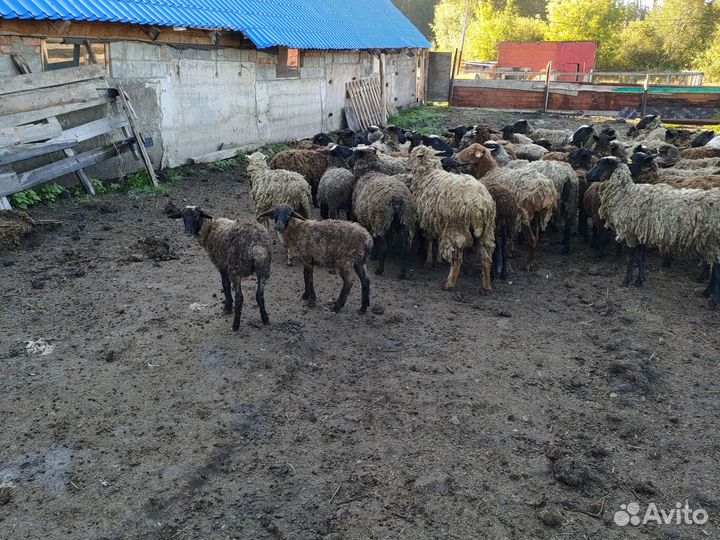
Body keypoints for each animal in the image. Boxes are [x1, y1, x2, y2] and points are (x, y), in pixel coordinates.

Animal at [407, 145, 496, 292]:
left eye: (413, 155)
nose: (407, 166)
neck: (428, 174)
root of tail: (480, 202)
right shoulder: (437, 219)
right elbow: (436, 240)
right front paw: (438, 259)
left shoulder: (428, 219)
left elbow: (429, 240)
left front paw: (429, 261)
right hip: (486, 231)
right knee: (485, 257)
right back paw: (486, 286)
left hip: (455, 227)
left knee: (457, 259)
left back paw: (449, 284)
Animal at [588, 157, 720, 306]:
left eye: (600, 165)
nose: (586, 175)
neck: (625, 194)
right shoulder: (639, 232)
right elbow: (640, 258)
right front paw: (640, 280)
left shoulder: (630, 233)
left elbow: (631, 258)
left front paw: (626, 280)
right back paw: (707, 292)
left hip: (713, 241)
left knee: (717, 271)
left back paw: (713, 301)